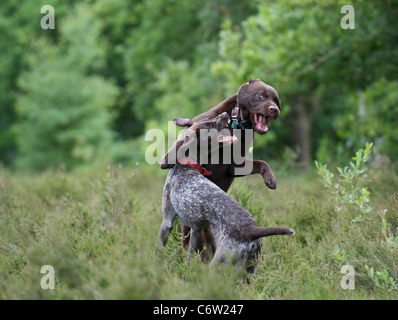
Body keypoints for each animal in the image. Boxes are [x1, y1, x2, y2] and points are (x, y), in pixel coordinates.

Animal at [155, 112, 296, 272]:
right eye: (208, 125)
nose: (224, 114)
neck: (189, 165)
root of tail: (252, 230)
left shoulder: (167, 222)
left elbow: (157, 250)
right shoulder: (196, 228)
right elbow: (190, 255)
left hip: (219, 262)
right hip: (250, 269)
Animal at [160, 79, 282, 258]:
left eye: (276, 100)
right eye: (260, 96)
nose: (274, 110)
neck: (235, 125)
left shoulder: (235, 167)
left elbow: (263, 163)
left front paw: (270, 179)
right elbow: (179, 144)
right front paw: (166, 159)